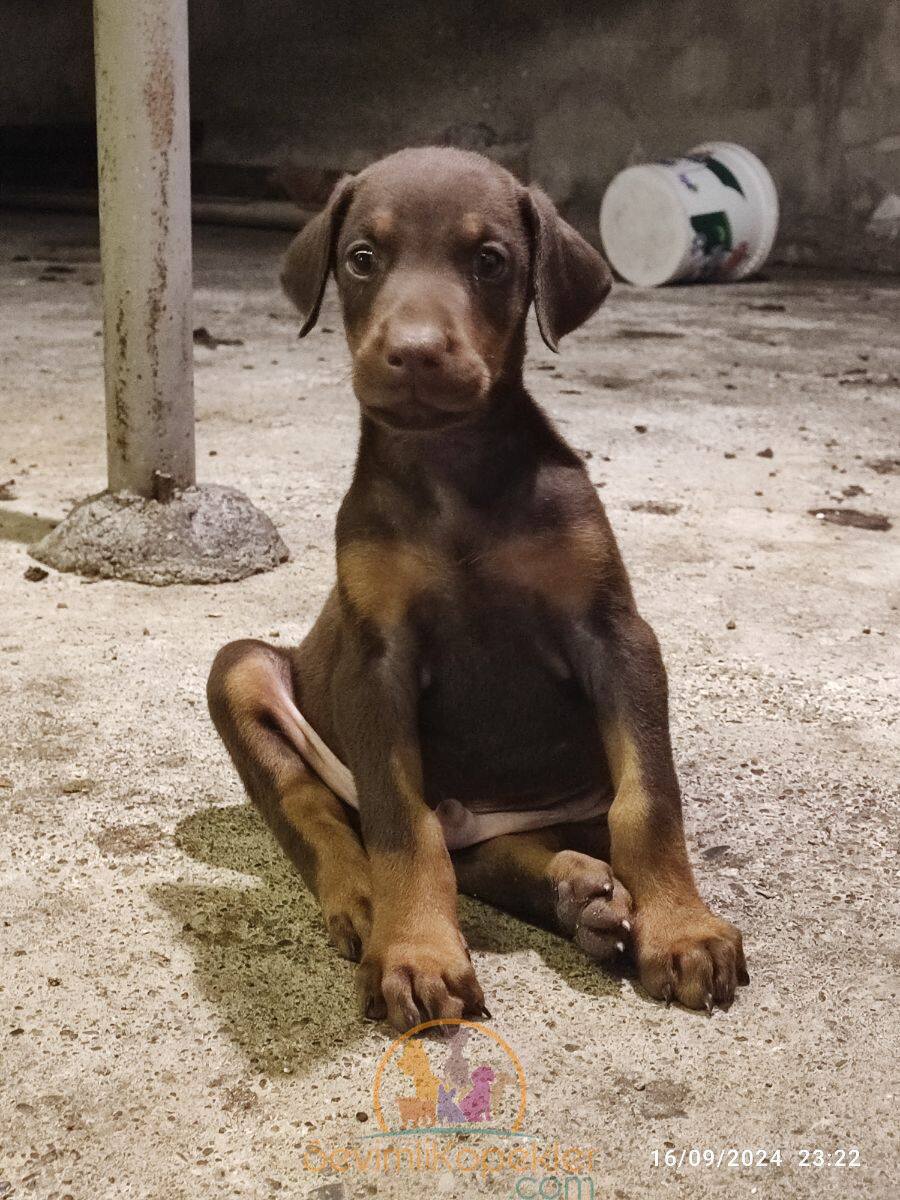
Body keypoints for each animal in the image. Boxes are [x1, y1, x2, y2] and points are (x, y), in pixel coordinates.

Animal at [207, 147, 748, 1032]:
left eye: (490, 260)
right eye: (363, 258)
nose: (416, 351)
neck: (452, 467)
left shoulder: (616, 635)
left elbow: (651, 801)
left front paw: (684, 930)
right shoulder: (376, 663)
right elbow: (401, 824)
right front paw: (418, 953)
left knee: (494, 855)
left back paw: (580, 894)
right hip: (240, 669)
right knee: (324, 809)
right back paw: (367, 901)